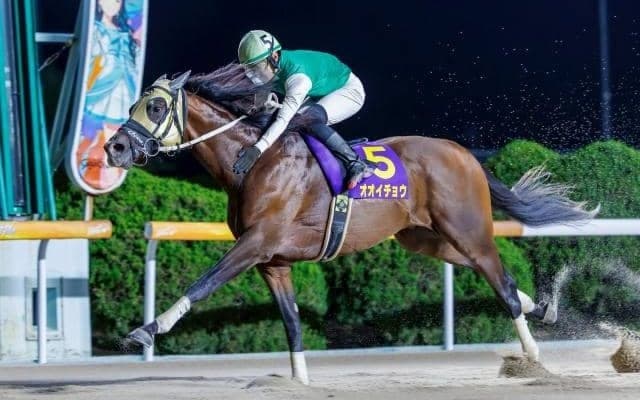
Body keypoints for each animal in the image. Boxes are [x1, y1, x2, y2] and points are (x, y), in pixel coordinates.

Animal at [104, 64, 597, 384]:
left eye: (154, 107)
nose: (115, 149)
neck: (256, 161)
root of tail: (465, 155)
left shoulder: (256, 242)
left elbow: (203, 282)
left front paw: (146, 331)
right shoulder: (271, 261)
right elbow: (292, 322)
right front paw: (300, 382)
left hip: (468, 231)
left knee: (502, 283)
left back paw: (533, 358)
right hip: (425, 239)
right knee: (499, 279)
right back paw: (544, 309)